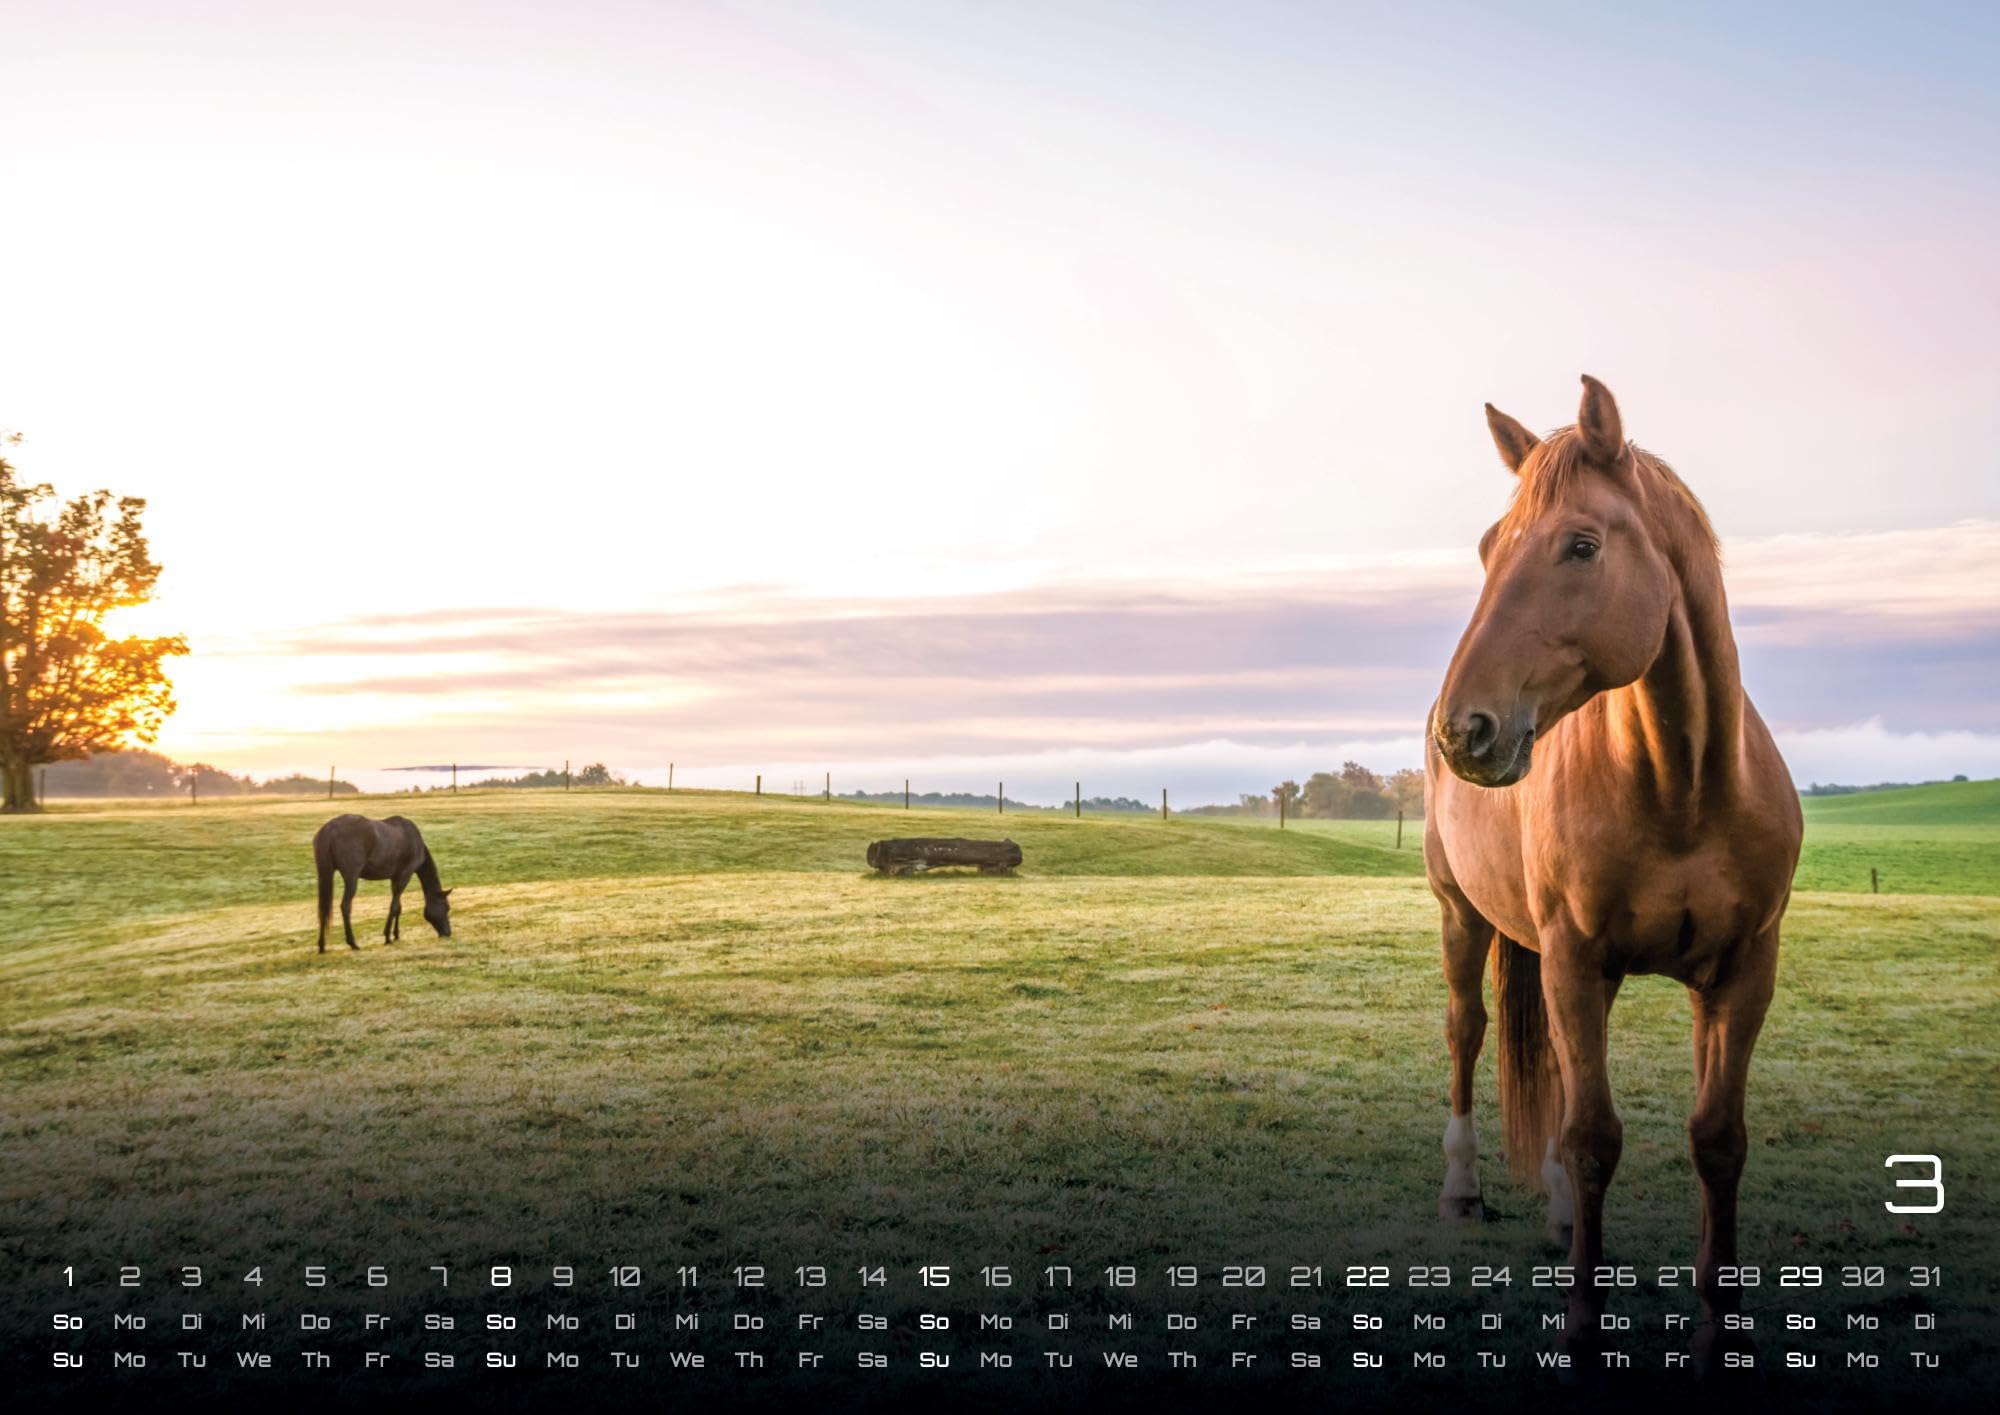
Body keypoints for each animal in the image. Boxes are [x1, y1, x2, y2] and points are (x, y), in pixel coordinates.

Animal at [313, 814, 453, 952]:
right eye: (446, 907)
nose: (448, 933)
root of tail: (330, 828)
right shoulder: (405, 875)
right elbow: (394, 907)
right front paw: (387, 937)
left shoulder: (395, 878)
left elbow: (398, 907)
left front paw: (396, 934)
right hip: (351, 878)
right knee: (345, 906)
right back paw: (352, 943)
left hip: (325, 873)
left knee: (323, 908)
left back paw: (322, 945)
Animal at [1424, 375, 1801, 1370]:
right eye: (1489, 546)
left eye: (1582, 545)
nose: (1461, 730)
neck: (1681, 787)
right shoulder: (1573, 958)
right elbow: (1593, 1137)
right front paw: (1583, 1328)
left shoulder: (1743, 970)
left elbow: (1717, 1139)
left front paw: (1718, 1326)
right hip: (1461, 916)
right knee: (1467, 1033)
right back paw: (1463, 1191)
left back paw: (1560, 1218)